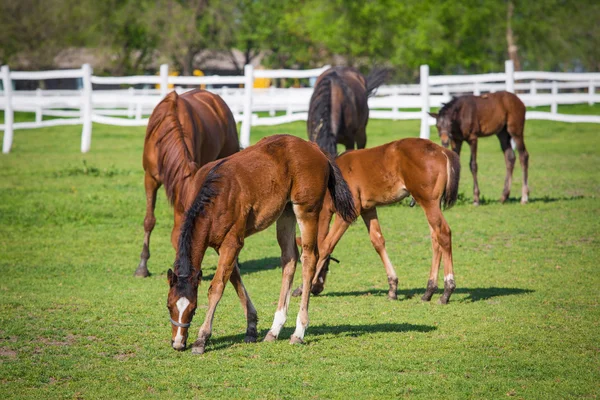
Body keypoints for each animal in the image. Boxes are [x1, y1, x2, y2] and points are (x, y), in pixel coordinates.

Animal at [294, 138, 460, 304]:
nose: (316, 289)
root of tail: (442, 150)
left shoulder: (348, 213)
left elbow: (326, 246)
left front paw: (302, 288)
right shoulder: (368, 209)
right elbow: (378, 241)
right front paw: (392, 288)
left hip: (428, 202)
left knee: (443, 234)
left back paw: (447, 291)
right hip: (430, 204)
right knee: (435, 240)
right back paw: (429, 291)